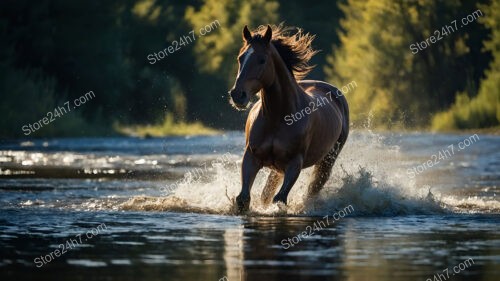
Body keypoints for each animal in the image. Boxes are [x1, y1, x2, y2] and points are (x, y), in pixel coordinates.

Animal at [229, 24, 350, 212]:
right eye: (240, 58)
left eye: (262, 60)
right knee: (266, 192)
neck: (278, 118)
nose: (237, 95)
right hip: (277, 168)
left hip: (326, 161)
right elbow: (243, 198)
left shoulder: (294, 163)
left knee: (313, 189)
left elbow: (279, 199)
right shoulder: (251, 157)